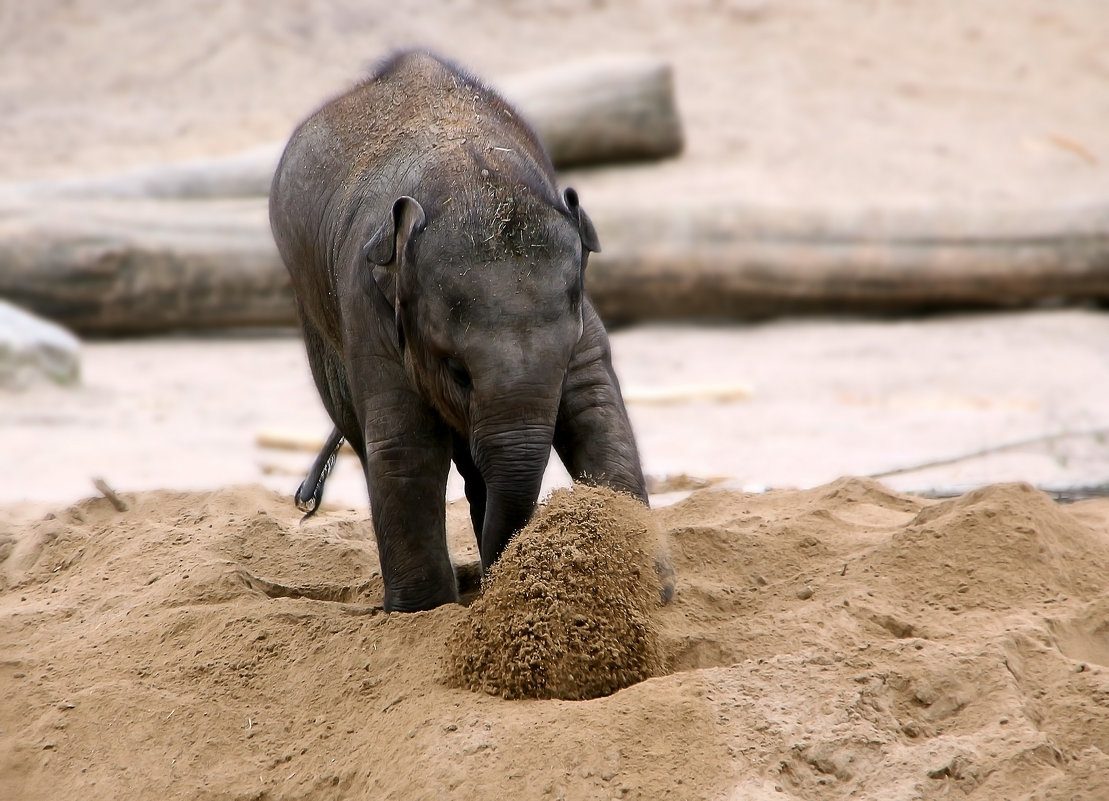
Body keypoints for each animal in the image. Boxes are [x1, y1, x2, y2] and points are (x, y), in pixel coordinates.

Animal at [268, 49, 647, 612]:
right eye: (456, 370)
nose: (499, 575)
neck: (471, 177)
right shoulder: (369, 306)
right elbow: (405, 445)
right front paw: (422, 612)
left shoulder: (582, 313)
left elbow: (595, 407)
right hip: (314, 310)